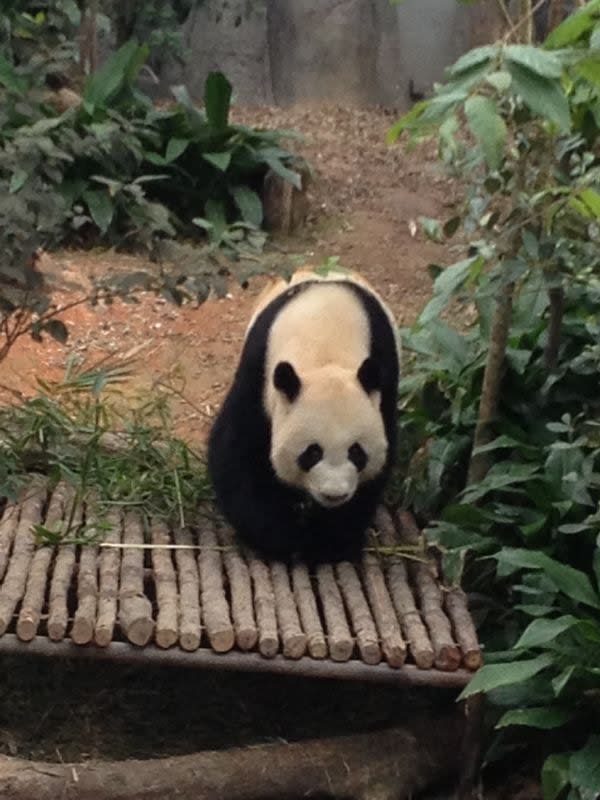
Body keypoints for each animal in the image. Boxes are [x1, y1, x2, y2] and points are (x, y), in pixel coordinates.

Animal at [209, 268, 400, 564]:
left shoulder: (383, 379)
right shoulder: (259, 375)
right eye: (312, 452)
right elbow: (236, 456)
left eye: (357, 452)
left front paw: (329, 542)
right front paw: (283, 538)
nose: (334, 494)